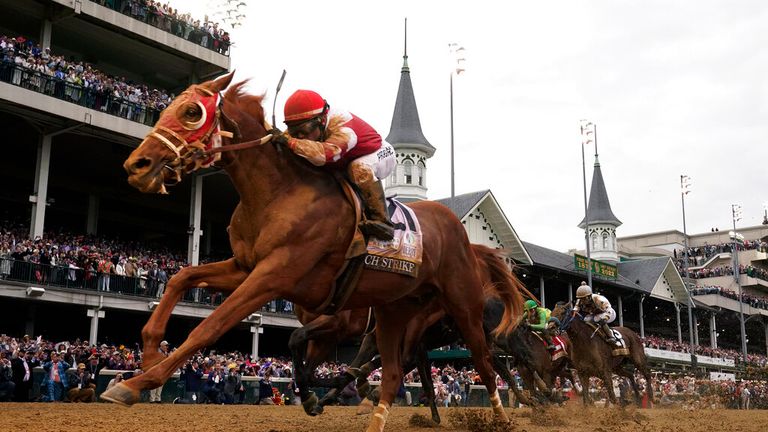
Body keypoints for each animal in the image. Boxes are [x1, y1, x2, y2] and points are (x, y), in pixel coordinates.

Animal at [105, 72, 524, 430]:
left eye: (192, 112)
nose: (136, 164)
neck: (279, 193)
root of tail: (462, 232)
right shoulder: (246, 266)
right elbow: (182, 276)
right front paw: (149, 352)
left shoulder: (274, 276)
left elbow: (211, 326)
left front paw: (139, 381)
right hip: (394, 311)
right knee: (393, 371)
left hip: (463, 306)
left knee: (486, 363)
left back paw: (504, 415)